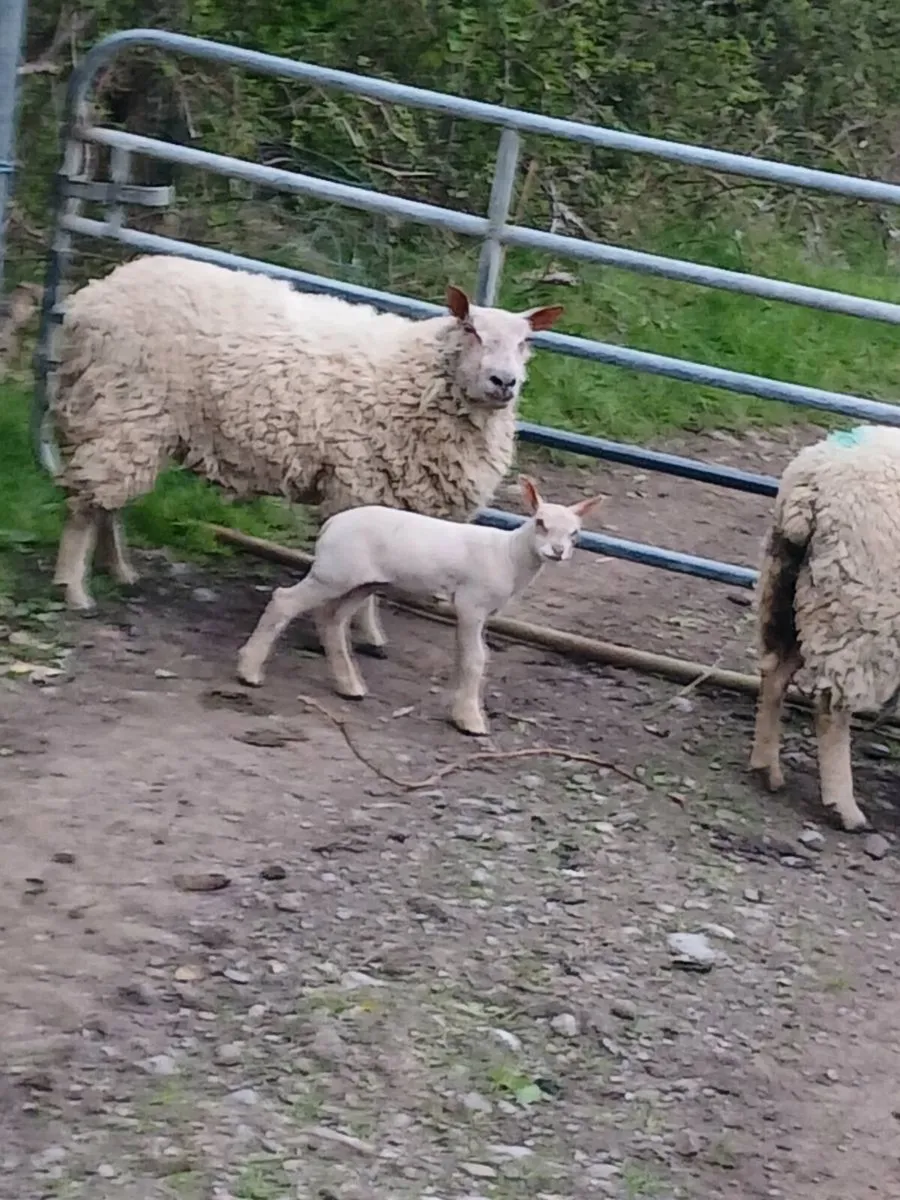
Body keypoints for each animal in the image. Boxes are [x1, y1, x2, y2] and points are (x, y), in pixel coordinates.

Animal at [49, 254, 565, 654]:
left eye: (526, 342)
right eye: (472, 330)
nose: (504, 381)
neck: (419, 377)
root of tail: (89, 299)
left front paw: (365, 636)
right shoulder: (365, 489)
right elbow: (368, 588)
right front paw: (363, 633)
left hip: (133, 424)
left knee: (106, 504)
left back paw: (119, 571)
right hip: (125, 410)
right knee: (86, 507)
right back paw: (74, 589)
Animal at [236, 475, 605, 735]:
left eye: (575, 534)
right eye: (540, 522)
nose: (557, 552)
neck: (510, 554)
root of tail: (330, 525)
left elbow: (468, 657)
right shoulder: (472, 603)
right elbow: (475, 659)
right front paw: (469, 720)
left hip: (360, 581)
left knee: (331, 619)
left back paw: (349, 686)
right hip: (334, 572)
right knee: (284, 601)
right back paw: (249, 672)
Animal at [749, 424, 900, 832]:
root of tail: (814, 479)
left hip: (795, 592)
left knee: (774, 671)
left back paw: (766, 768)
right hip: (860, 609)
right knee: (832, 708)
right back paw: (844, 808)